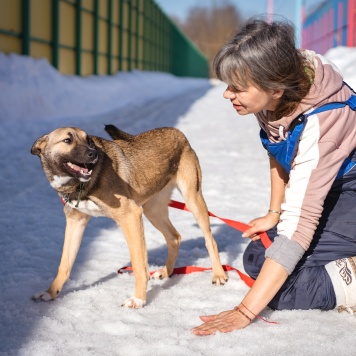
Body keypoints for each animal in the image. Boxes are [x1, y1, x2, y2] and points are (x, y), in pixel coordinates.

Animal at [29, 124, 225, 306]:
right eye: (67, 140)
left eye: (89, 141)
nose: (93, 154)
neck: (81, 186)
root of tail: (177, 131)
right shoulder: (75, 222)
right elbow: (64, 265)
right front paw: (51, 293)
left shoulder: (130, 216)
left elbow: (139, 265)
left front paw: (138, 299)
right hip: (152, 210)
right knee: (174, 237)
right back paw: (166, 272)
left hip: (192, 198)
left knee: (210, 240)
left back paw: (219, 274)